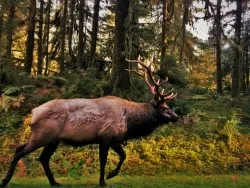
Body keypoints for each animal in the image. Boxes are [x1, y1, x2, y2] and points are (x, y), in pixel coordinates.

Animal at [0, 58, 179, 187]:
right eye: (165, 107)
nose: (177, 117)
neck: (129, 123)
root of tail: (33, 113)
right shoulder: (106, 136)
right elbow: (106, 160)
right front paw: (104, 179)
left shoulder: (113, 139)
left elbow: (123, 155)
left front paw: (109, 175)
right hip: (42, 135)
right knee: (19, 150)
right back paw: (5, 180)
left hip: (53, 140)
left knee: (43, 158)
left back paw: (54, 182)